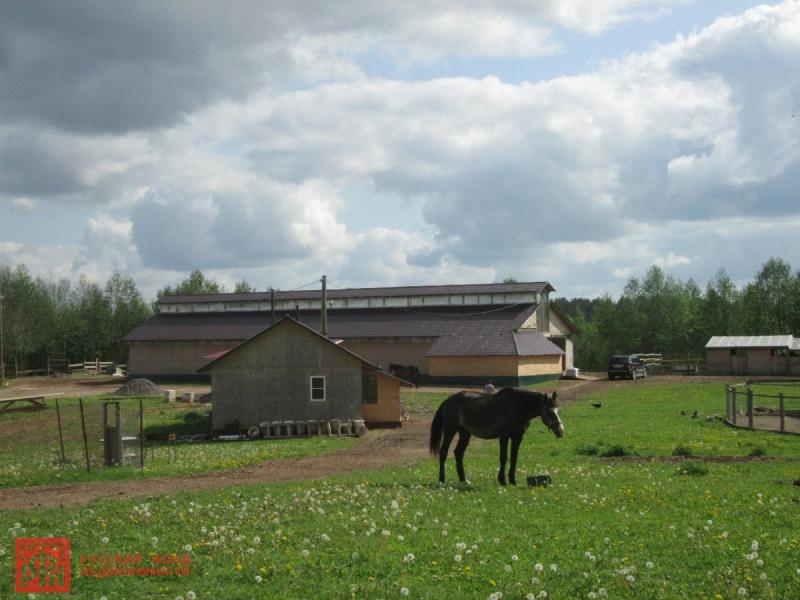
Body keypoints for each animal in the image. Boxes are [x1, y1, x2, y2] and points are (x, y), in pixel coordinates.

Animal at [428, 386, 564, 486]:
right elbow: (504, 457)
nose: (560, 431)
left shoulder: (517, 437)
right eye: (549, 412)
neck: (517, 407)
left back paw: (464, 480)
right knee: (443, 453)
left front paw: (513, 481)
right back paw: (442, 480)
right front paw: (502, 480)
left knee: (458, 453)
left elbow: (514, 458)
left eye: (558, 410)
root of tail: (448, 400)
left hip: (465, 433)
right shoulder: (504, 436)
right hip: (450, 431)